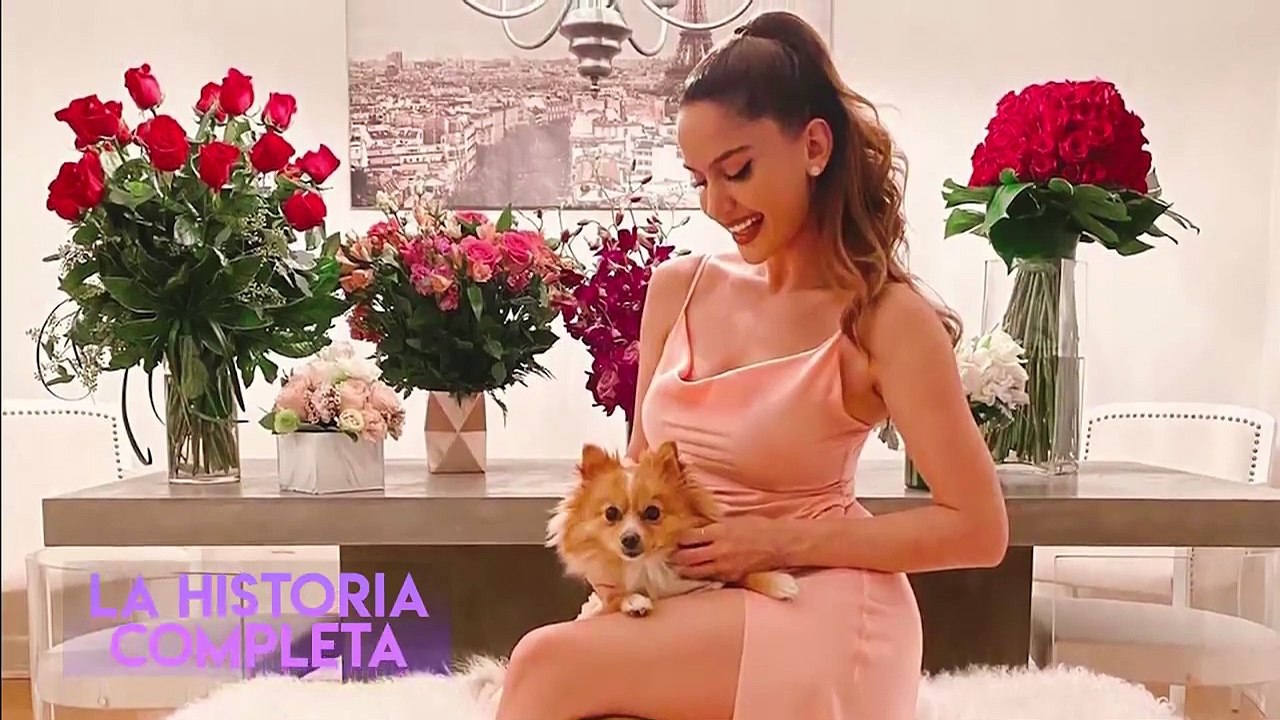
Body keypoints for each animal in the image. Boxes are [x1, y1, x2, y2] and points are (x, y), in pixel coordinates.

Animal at [546, 440, 800, 618]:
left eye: (652, 512)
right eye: (611, 513)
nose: (629, 538)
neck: (648, 563)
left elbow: (743, 574)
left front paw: (778, 582)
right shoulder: (606, 599)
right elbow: (616, 598)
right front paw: (634, 601)